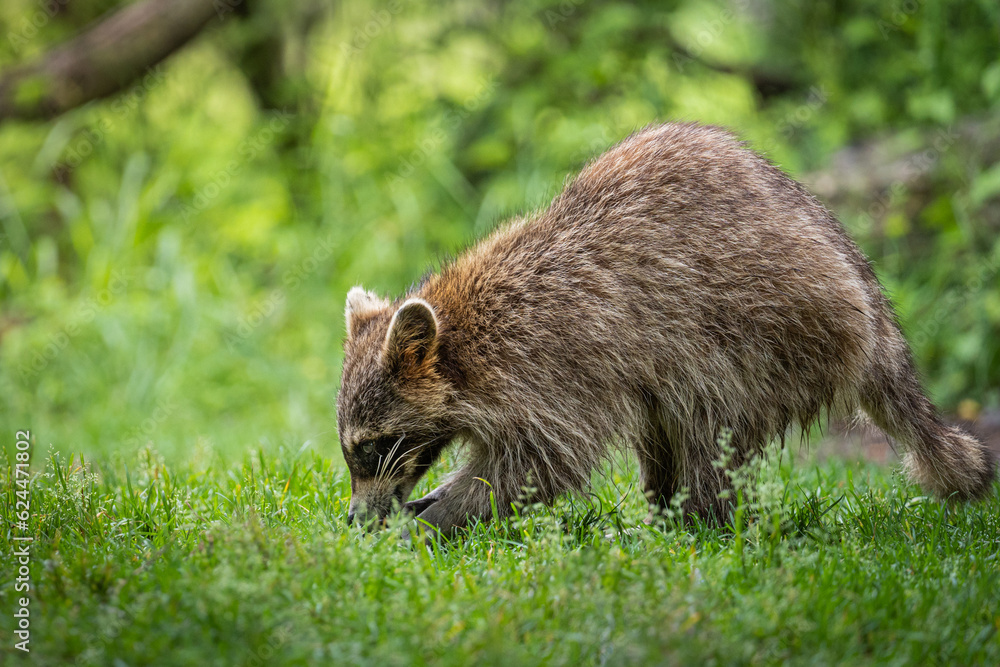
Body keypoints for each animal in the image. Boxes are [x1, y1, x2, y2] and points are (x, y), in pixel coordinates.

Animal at [336, 122, 995, 534]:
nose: (354, 517)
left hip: (776, 328)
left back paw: (697, 522)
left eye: (372, 446)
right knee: (662, 425)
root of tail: (868, 293)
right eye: (352, 449)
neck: (460, 336)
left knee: (711, 421)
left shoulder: (553, 362)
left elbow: (536, 466)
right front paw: (427, 505)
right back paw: (666, 510)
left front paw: (435, 520)